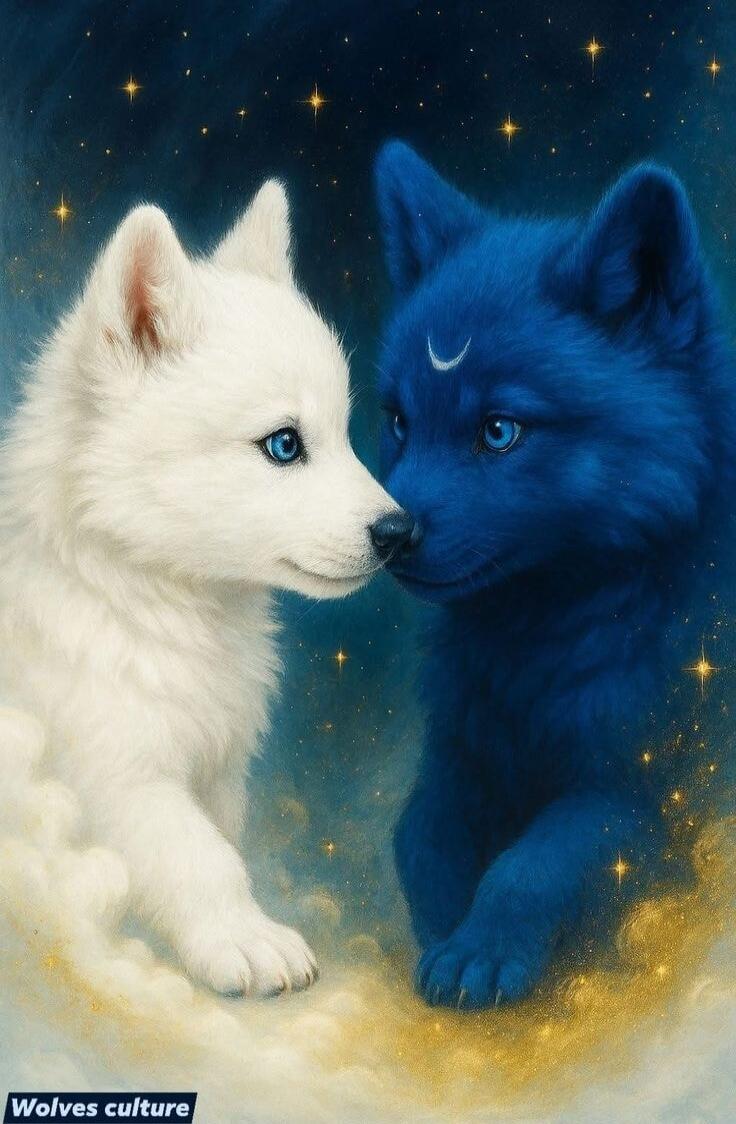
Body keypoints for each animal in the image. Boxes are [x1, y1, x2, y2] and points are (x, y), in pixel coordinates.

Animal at [0, 180, 410, 997]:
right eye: (284, 445)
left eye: (344, 432)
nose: (398, 531)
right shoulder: (115, 770)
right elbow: (199, 856)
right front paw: (245, 939)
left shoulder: (215, 768)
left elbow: (219, 839)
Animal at [374, 141, 736, 1008]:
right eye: (398, 421)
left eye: (500, 431)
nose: (387, 537)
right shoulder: (462, 755)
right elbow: (417, 835)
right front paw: (443, 925)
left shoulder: (642, 790)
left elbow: (536, 861)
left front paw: (478, 952)